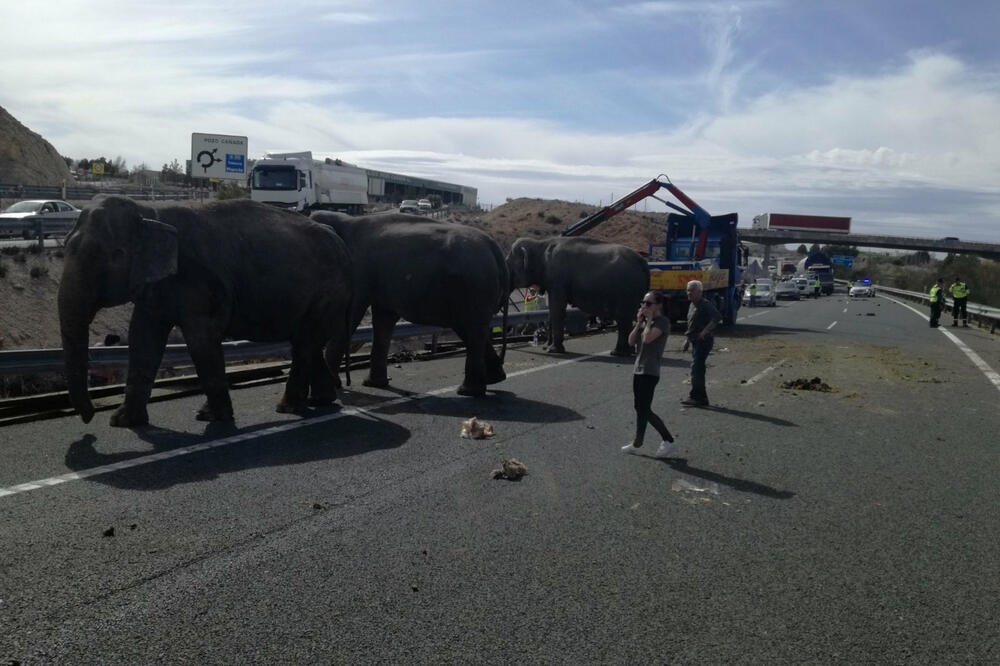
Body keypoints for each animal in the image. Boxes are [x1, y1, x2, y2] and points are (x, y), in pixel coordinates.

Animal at [58, 196, 354, 426]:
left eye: (116, 255)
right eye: (64, 246)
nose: (88, 417)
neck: (150, 213)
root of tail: (341, 244)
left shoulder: (199, 280)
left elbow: (201, 338)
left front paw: (210, 417)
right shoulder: (156, 286)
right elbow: (143, 338)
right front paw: (123, 422)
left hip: (327, 294)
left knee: (304, 343)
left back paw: (288, 408)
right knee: (306, 343)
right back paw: (321, 400)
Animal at [310, 210, 508, 394]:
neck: (344, 220)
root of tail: (495, 248)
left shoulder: (358, 273)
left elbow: (352, 316)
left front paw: (335, 386)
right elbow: (383, 319)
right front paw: (373, 384)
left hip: (475, 287)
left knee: (472, 330)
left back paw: (467, 390)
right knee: (469, 329)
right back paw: (494, 379)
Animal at [508, 236, 648, 356]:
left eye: (508, 263)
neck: (541, 243)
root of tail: (643, 263)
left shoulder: (558, 279)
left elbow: (557, 308)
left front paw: (553, 350)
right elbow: (552, 310)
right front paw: (547, 347)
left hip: (626, 290)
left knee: (623, 318)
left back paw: (617, 352)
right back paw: (628, 351)